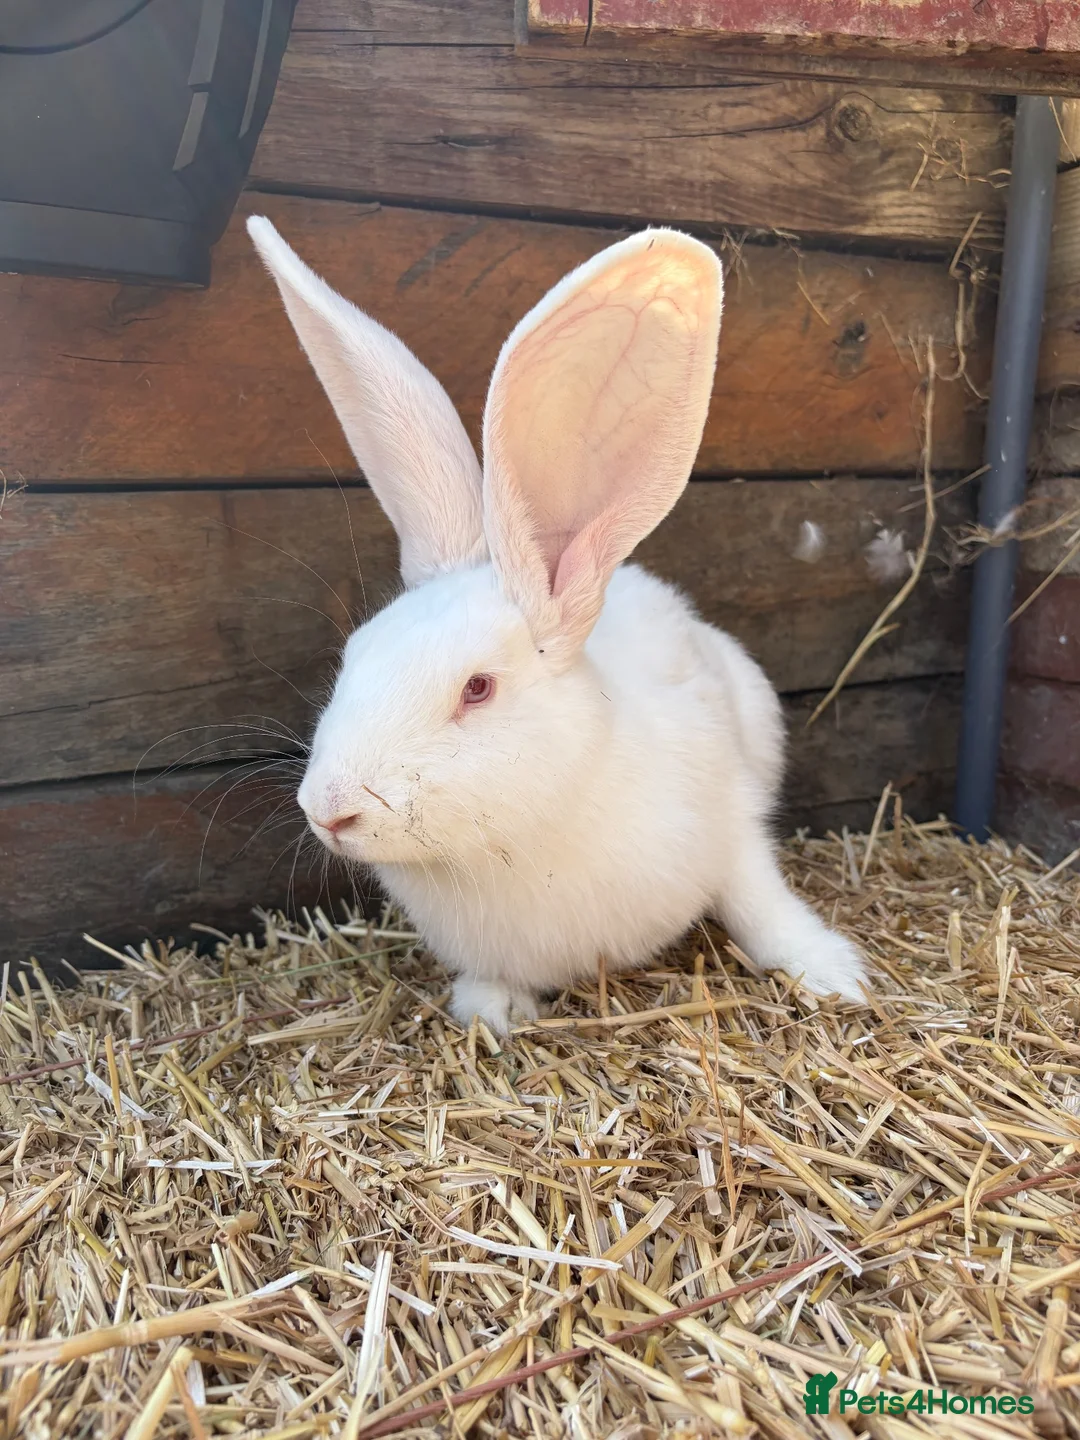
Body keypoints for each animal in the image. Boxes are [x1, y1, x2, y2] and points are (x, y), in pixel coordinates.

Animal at [248, 215, 868, 1035]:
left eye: (478, 688)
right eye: (353, 658)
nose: (329, 810)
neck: (517, 844)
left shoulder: (732, 829)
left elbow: (760, 901)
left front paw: (833, 974)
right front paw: (489, 1012)